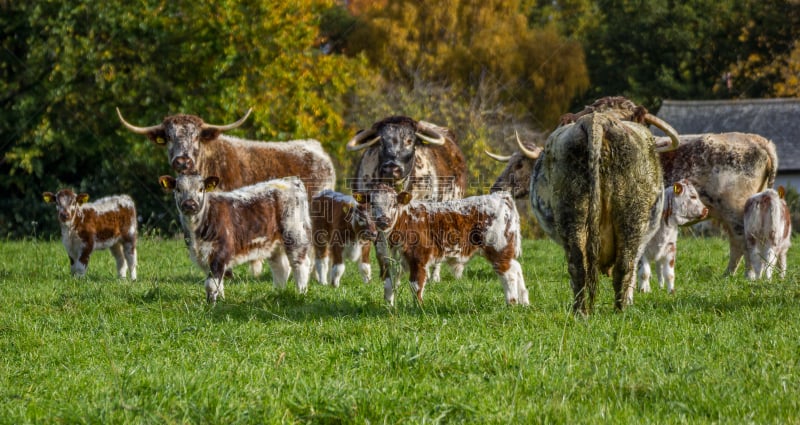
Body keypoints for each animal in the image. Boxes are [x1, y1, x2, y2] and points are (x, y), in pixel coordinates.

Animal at [159, 172, 312, 302]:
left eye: (201, 189)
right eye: (178, 189)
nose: (189, 204)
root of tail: (290, 180)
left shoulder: (220, 253)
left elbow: (211, 284)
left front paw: (211, 305)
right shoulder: (203, 256)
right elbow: (218, 283)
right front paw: (221, 301)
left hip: (294, 234)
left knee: (299, 263)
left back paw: (301, 293)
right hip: (273, 242)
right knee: (281, 267)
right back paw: (278, 293)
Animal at [354, 184, 528, 306]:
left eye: (394, 204)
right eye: (372, 204)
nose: (383, 221)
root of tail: (500, 196)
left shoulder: (419, 259)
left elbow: (415, 285)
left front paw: (418, 308)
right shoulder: (389, 261)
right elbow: (389, 285)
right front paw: (388, 307)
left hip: (498, 249)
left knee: (508, 274)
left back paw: (512, 303)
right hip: (505, 250)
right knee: (517, 267)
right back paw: (524, 302)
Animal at [488, 97, 680, 314]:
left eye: (520, 165)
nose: (496, 187)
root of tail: (598, 121)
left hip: (574, 217)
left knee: (580, 266)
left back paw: (581, 311)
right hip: (632, 221)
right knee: (622, 267)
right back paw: (619, 309)